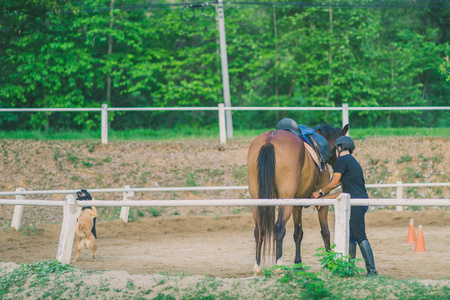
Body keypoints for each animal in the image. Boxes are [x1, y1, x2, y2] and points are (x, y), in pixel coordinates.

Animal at [246, 122, 348, 274]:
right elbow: (325, 232)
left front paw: (298, 264)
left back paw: (258, 267)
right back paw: (279, 266)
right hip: (285, 200)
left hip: (257, 200)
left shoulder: (297, 205)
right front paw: (329, 261)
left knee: (259, 229)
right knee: (279, 228)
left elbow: (298, 233)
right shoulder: (321, 203)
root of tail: (269, 141)